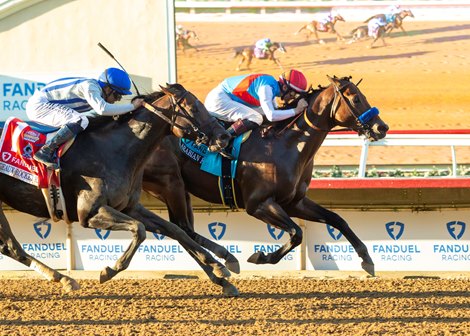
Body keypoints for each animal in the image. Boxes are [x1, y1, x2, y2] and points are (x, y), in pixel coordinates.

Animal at [0, 83, 239, 294]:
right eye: (193, 108)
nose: (224, 136)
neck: (114, 150)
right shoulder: (89, 213)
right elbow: (139, 230)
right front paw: (110, 269)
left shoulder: (129, 207)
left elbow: (176, 230)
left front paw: (221, 267)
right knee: (12, 247)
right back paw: (65, 278)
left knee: (10, 247)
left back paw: (63, 278)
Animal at [142, 76, 390, 278]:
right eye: (356, 99)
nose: (382, 127)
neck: (286, 144)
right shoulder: (258, 204)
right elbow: (296, 233)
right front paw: (262, 256)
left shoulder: (294, 203)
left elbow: (337, 219)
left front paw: (367, 259)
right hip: (170, 183)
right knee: (180, 227)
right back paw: (224, 261)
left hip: (178, 188)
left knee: (181, 228)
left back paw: (220, 263)